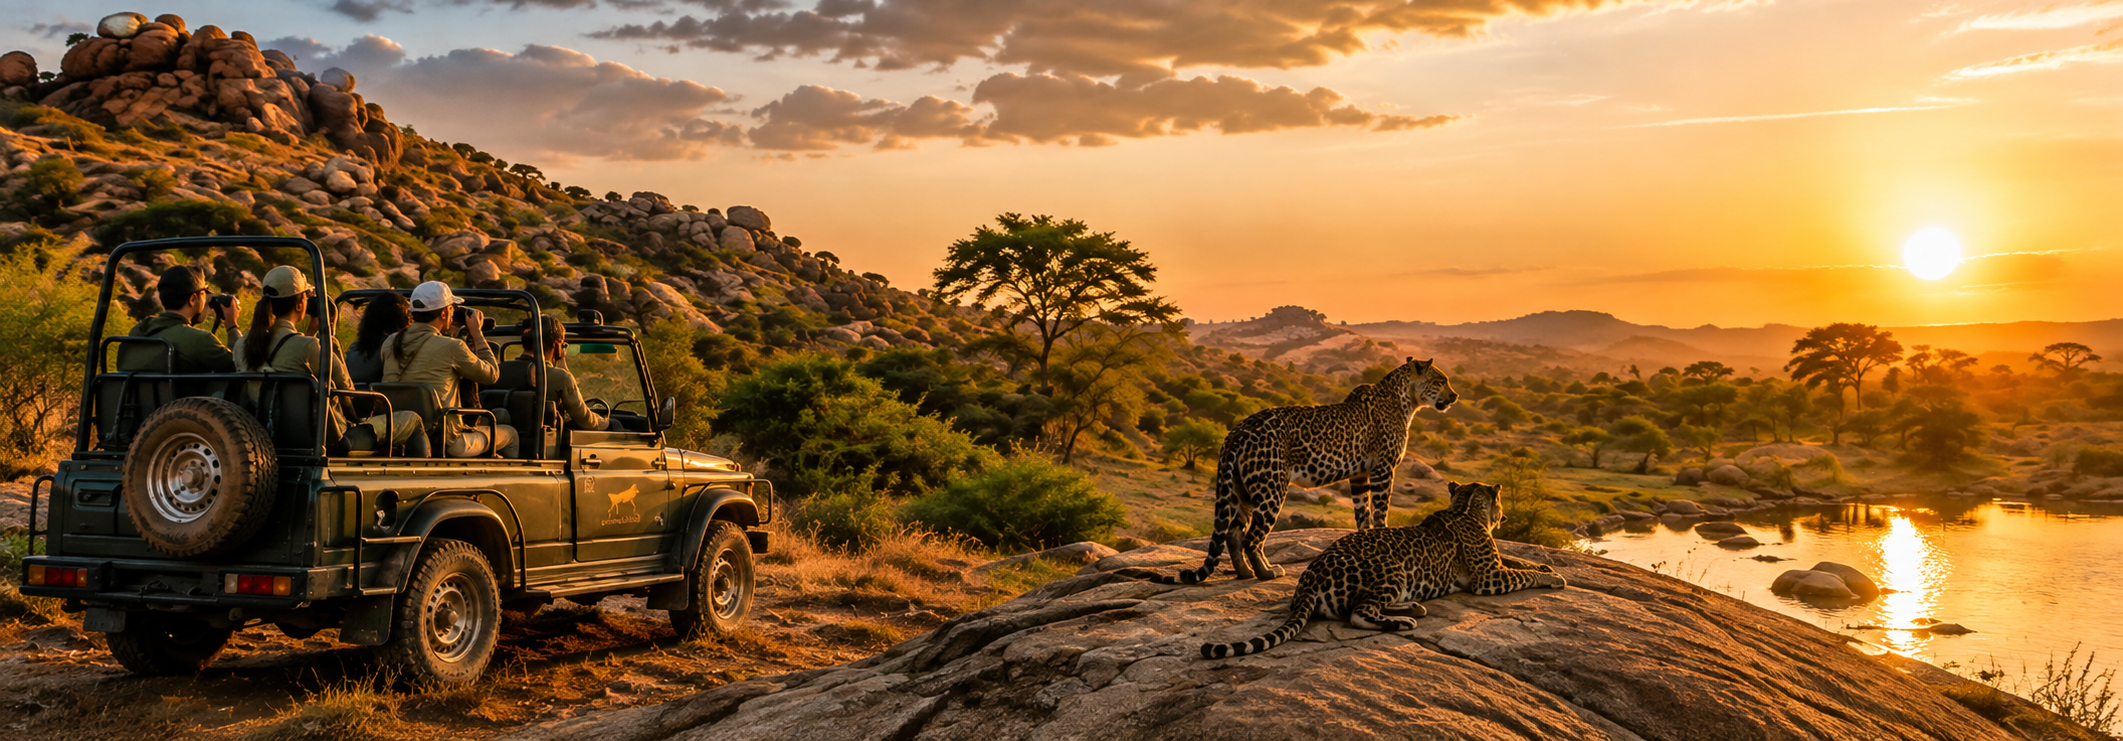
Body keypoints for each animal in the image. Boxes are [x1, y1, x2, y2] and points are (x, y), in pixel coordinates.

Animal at [1136, 356, 1457, 585]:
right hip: (1271, 488)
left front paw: (1364, 543)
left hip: (1241, 490)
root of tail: (1236, 432)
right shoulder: (1382, 470)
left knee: (1233, 534)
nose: (1454, 396)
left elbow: (1361, 514)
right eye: (1440, 381)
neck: (1405, 400)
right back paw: (1266, 573)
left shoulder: (1359, 475)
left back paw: (1245, 573)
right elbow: (1380, 513)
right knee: (1252, 537)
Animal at [1201, 481, 1567, 659]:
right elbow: (1523, 574)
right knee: (1358, 613)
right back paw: (1403, 621)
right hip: (1392, 568)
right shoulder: (1489, 578)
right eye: (1500, 503)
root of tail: (1308, 578)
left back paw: (1413, 607)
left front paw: (1546, 564)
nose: (1504, 516)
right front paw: (1553, 577)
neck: (1465, 507)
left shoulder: (1495, 566)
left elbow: (1518, 561)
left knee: (1369, 607)